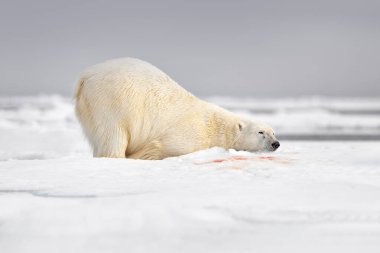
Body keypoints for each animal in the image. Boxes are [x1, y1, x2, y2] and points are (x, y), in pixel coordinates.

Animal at [74, 58, 280, 159]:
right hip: (114, 102)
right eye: (261, 132)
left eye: (274, 132)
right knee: (114, 135)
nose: (276, 144)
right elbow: (162, 147)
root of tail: (86, 76)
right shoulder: (191, 134)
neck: (215, 126)